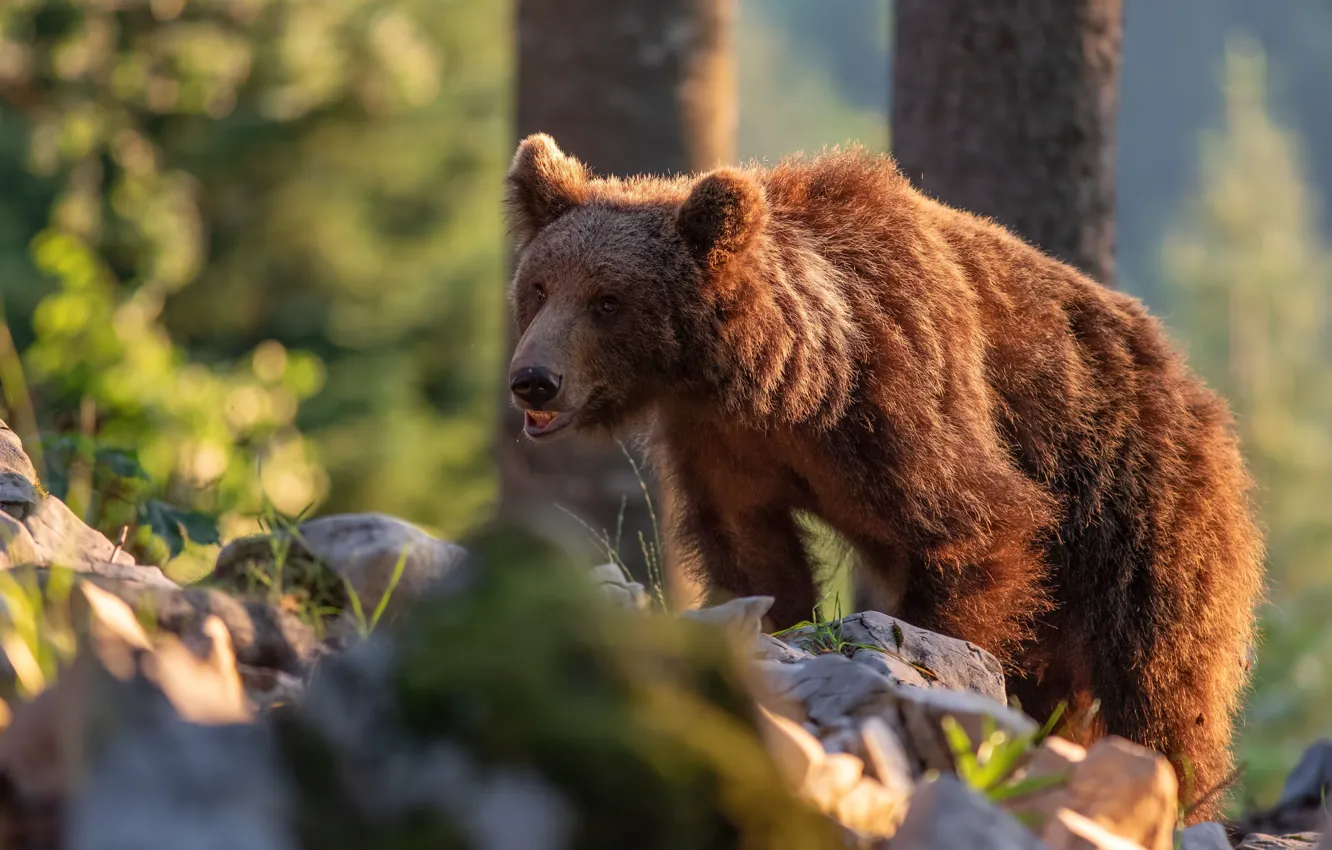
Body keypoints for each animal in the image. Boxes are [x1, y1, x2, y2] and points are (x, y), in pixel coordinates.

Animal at [502, 133, 1265, 818]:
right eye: (537, 286)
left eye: (607, 300)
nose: (533, 380)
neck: (782, 380)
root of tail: (1199, 392)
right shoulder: (722, 447)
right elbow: (753, 556)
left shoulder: (899, 398)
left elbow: (974, 531)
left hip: (1138, 511)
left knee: (1163, 679)